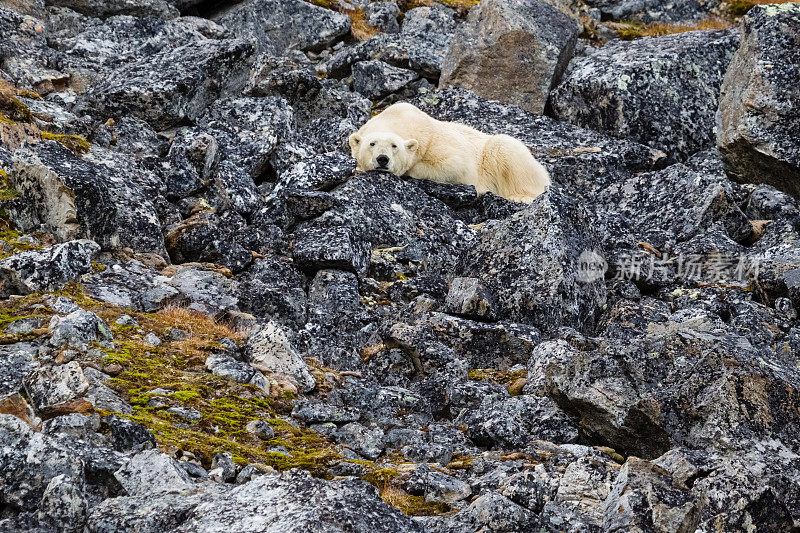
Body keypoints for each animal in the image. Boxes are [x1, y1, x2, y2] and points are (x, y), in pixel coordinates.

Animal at [350, 103, 552, 203]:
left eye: (394, 146)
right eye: (372, 143)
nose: (382, 159)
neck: (399, 118)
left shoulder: (432, 139)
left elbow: (455, 165)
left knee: (504, 147)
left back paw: (521, 196)